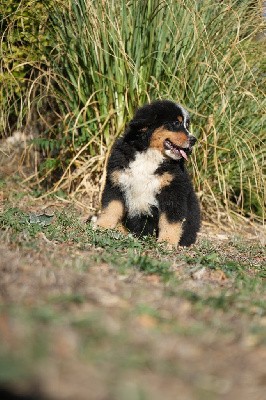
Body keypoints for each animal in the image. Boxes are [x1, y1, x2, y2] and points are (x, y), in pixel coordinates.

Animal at [94, 100, 201, 247]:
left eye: (187, 125)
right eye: (176, 123)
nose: (193, 140)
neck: (149, 156)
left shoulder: (173, 191)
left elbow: (170, 221)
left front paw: (167, 241)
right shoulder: (116, 182)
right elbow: (111, 207)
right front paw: (102, 225)